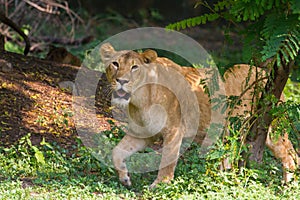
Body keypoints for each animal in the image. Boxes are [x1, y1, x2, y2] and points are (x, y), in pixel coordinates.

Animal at [99, 43, 298, 188]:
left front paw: (160, 185)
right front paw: (125, 178)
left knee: (291, 156)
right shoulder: (143, 133)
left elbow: (167, 161)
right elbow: (116, 152)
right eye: (115, 64)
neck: (140, 100)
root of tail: (264, 73)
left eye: (134, 67)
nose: (121, 81)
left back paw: (288, 185)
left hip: (269, 130)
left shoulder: (174, 130)